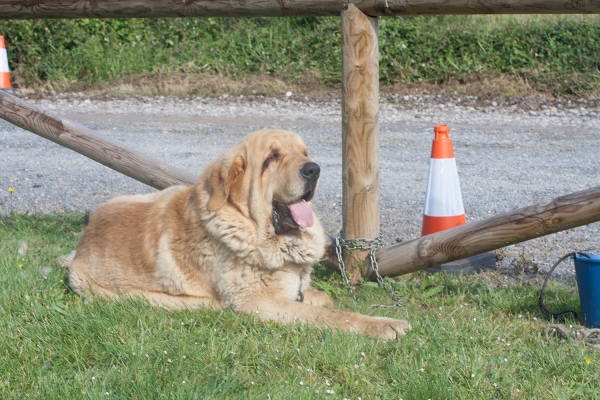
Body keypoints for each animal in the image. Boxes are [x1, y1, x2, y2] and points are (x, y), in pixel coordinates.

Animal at [67, 130, 412, 340]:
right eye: (272, 157)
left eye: (303, 153)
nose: (313, 169)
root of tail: (81, 243)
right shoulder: (261, 303)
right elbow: (335, 316)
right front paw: (384, 325)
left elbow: (323, 299)